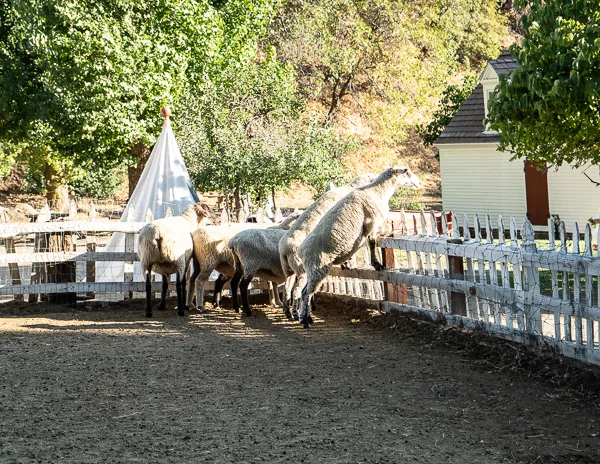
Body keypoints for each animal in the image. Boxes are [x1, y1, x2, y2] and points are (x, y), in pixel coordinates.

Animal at [278, 173, 376, 320]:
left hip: (289, 270)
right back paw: (297, 313)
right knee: (297, 290)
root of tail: (284, 249)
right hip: (302, 269)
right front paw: (349, 263)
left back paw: (287, 311)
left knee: (287, 288)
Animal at [296, 166, 420, 326]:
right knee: (306, 292)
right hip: (317, 267)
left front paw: (351, 263)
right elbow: (372, 243)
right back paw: (304, 319)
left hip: (312, 270)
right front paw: (377, 264)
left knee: (307, 291)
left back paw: (308, 316)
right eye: (407, 172)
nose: (419, 182)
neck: (377, 191)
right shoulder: (371, 222)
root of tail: (300, 251)